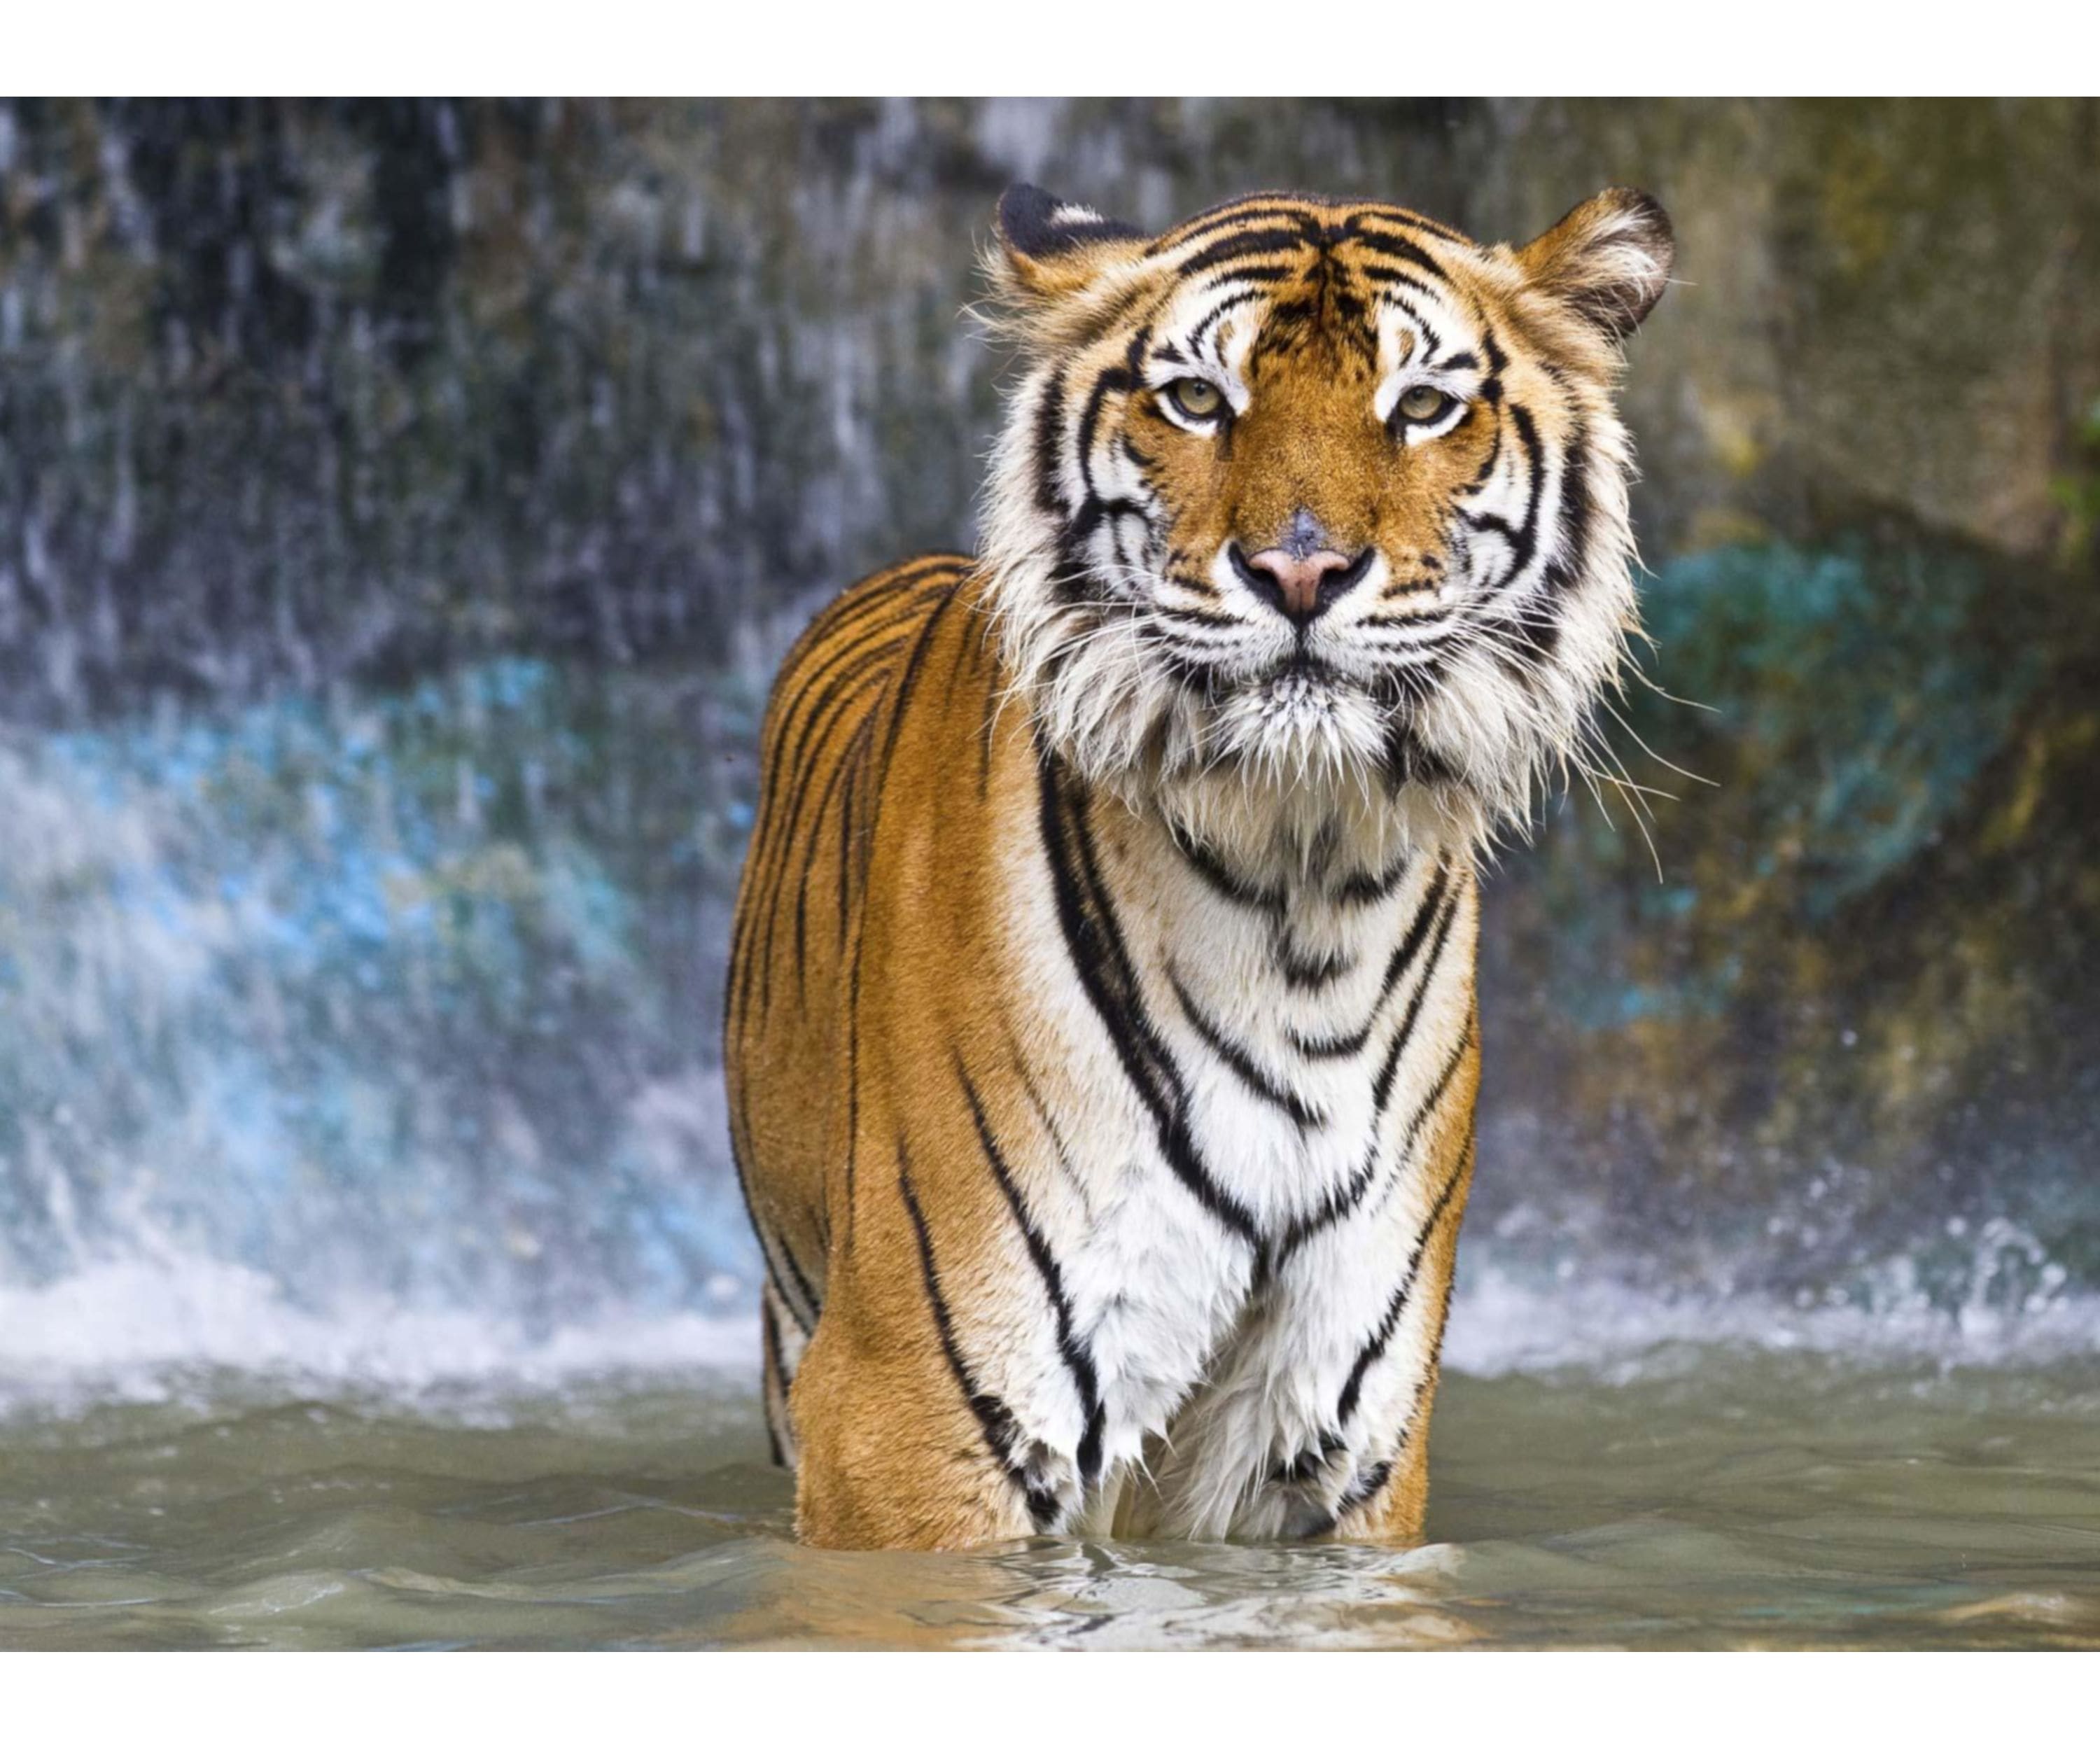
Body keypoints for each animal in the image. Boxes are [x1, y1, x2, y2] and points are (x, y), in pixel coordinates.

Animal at [725, 181, 1673, 1550]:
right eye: (1196, 399)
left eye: (1422, 406)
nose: (1301, 570)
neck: (1301, 892)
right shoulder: (915, 1412)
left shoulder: (1333, 1428)